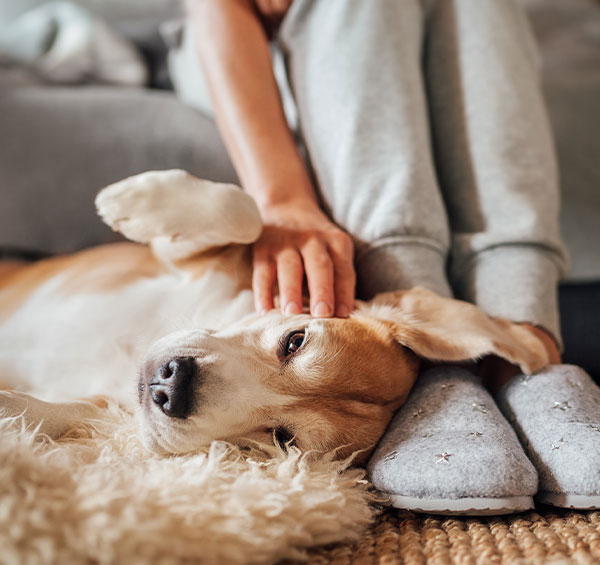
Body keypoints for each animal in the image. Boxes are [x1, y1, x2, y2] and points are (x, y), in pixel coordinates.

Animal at [0, 170, 548, 460]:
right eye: (295, 340)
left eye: (282, 437)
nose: (172, 385)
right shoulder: (188, 260)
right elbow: (243, 212)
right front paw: (133, 200)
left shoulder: (101, 408)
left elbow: (51, 412)